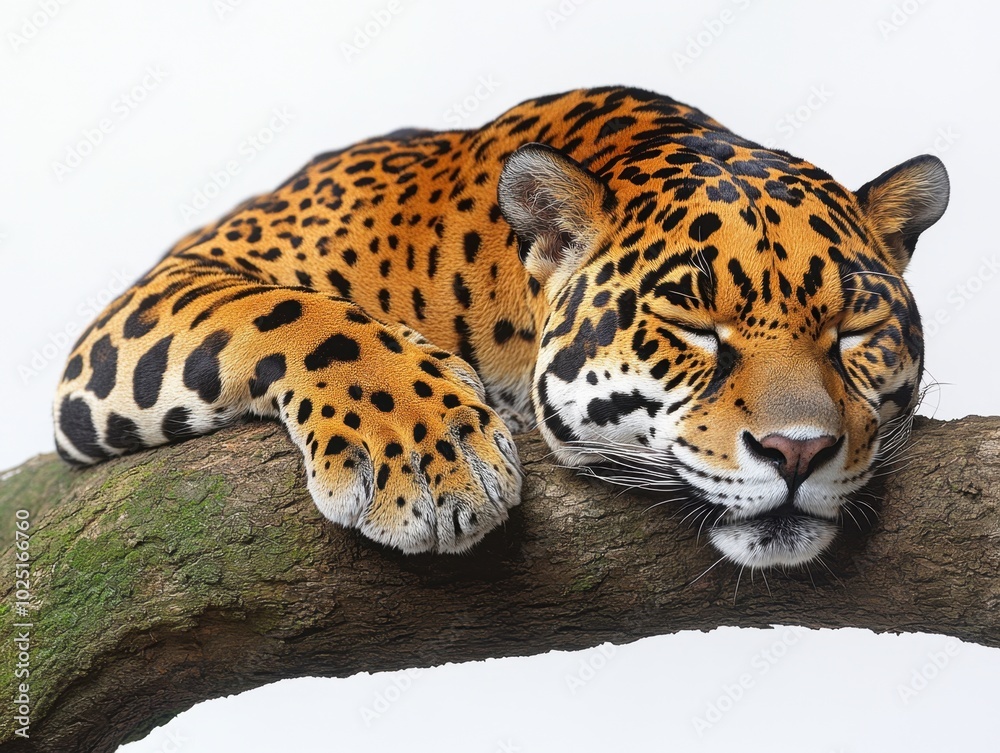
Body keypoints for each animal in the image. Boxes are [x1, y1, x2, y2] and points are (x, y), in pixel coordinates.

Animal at [53, 86, 949, 568]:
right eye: (690, 323)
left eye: (855, 329)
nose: (798, 452)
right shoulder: (170, 283)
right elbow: (296, 312)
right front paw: (424, 459)